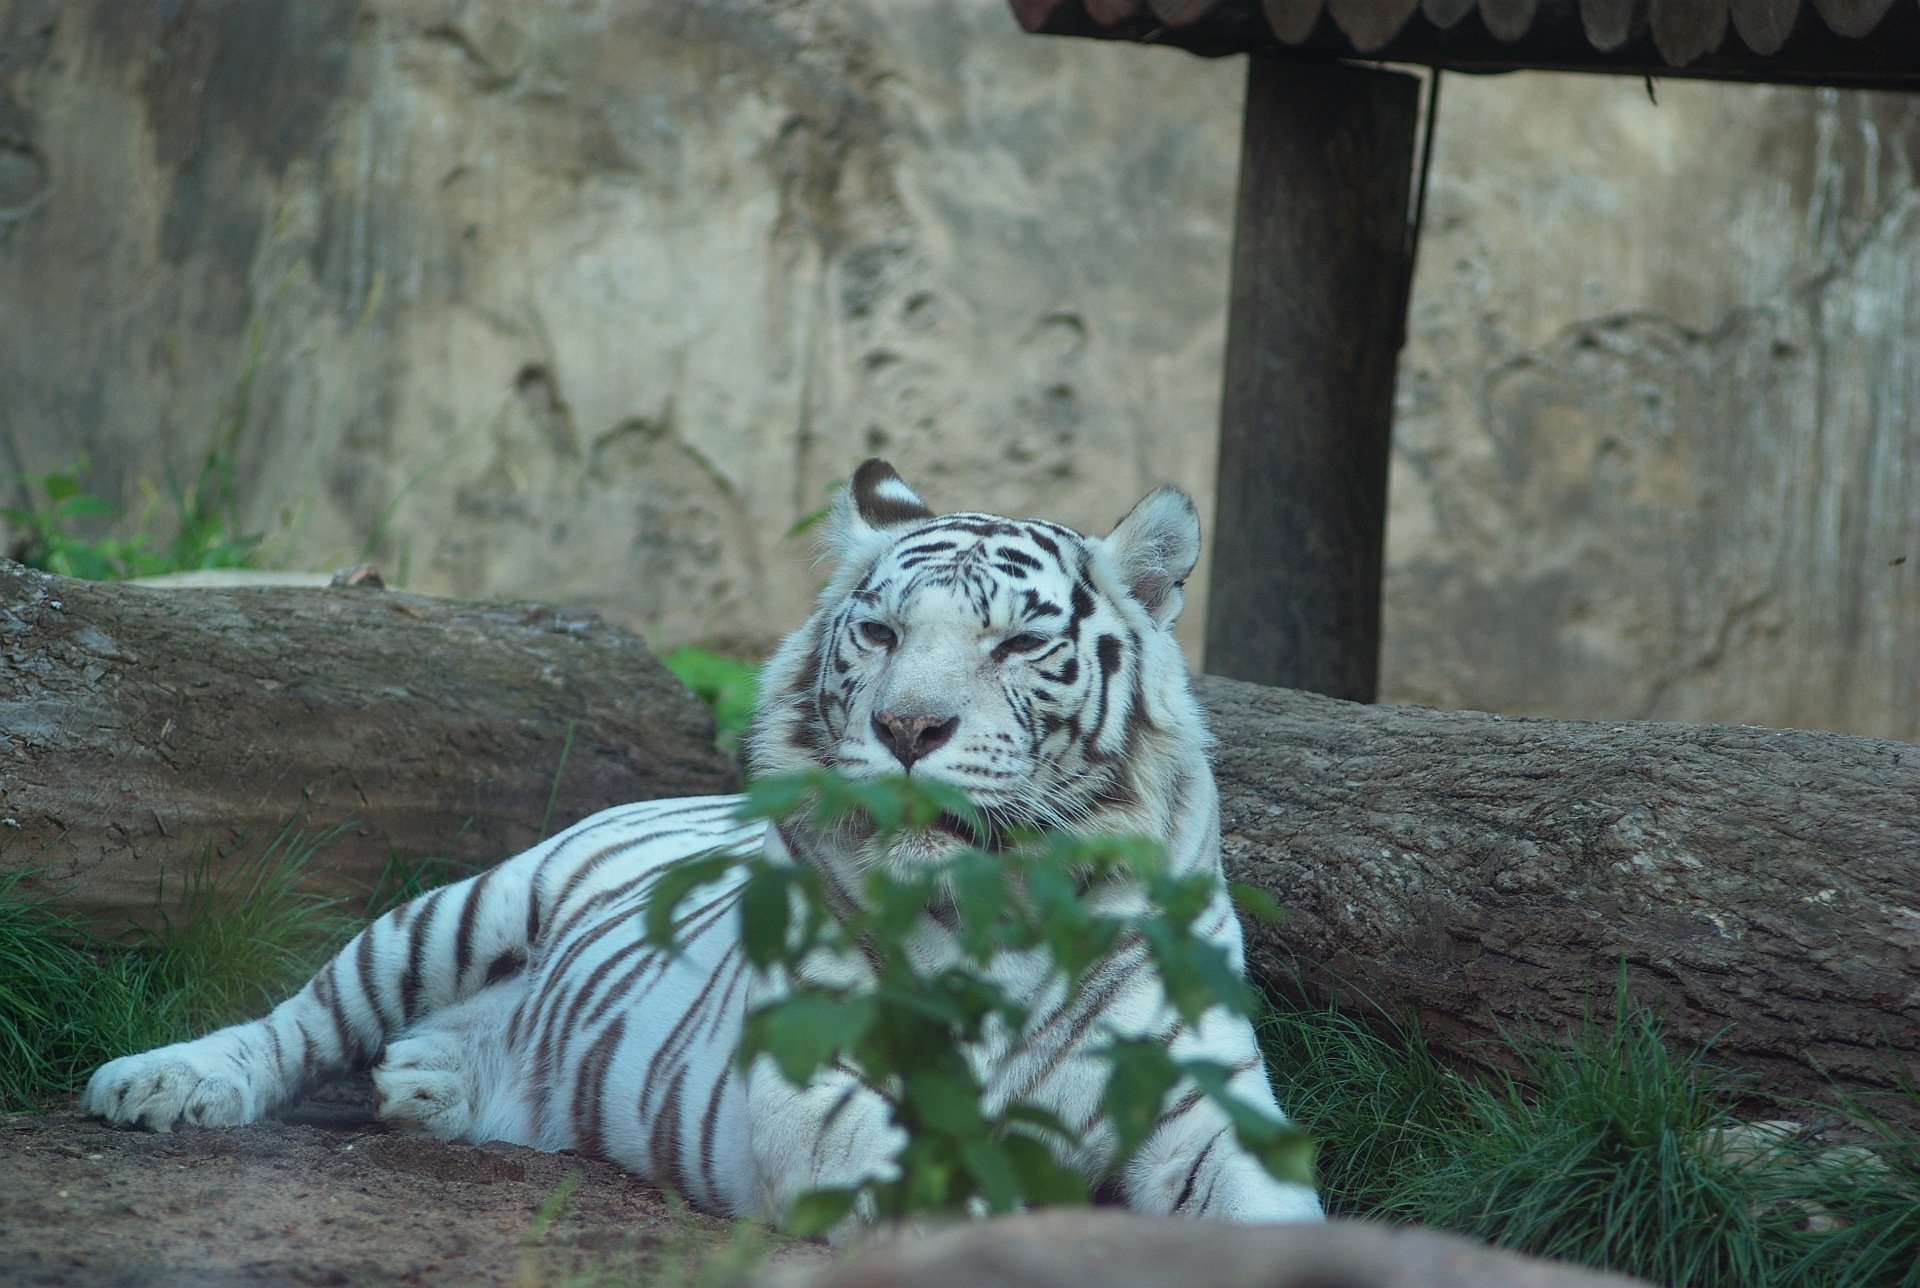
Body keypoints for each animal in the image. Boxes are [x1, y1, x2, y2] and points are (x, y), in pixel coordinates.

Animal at [82, 460, 1328, 1228]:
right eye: (880, 633)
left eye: (1020, 643)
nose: (907, 729)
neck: (996, 914)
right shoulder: (814, 1083)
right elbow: (937, 1174)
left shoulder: (1202, 1099)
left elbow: (1278, 1211)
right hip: (462, 907)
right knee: (303, 1018)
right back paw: (164, 1082)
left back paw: (432, 1078)